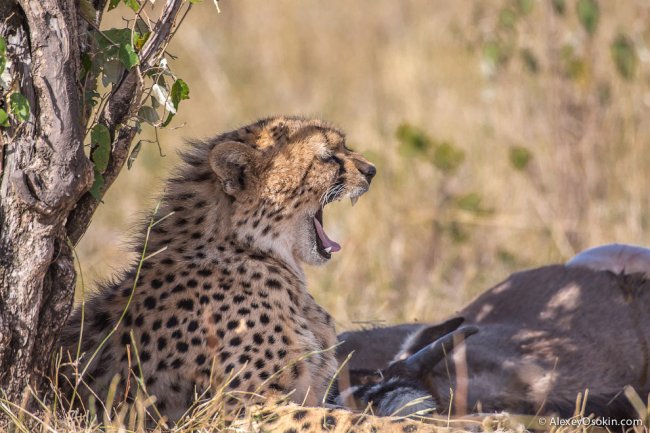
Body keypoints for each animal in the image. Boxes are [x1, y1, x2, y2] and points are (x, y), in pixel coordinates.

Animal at [58, 116, 438, 430]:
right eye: (328, 156)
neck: (252, 249)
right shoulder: (241, 410)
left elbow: (354, 413)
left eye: (343, 146)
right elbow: (353, 421)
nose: (372, 170)